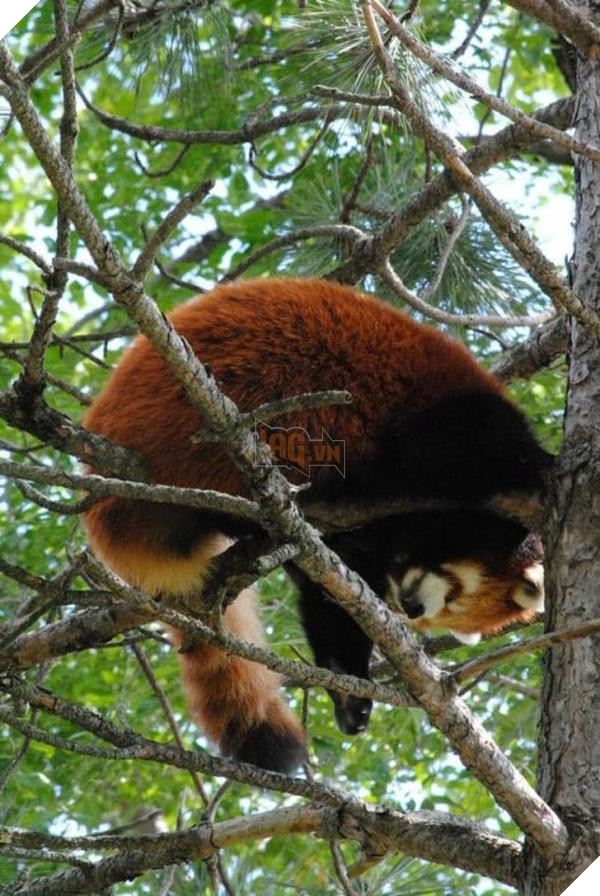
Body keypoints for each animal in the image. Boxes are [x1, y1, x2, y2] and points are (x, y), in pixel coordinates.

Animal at [82, 278, 550, 772]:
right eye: (457, 591)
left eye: (444, 614)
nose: (412, 607)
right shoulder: (449, 421)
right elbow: (495, 454)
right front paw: (547, 467)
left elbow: (328, 598)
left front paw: (348, 690)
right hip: (224, 410)